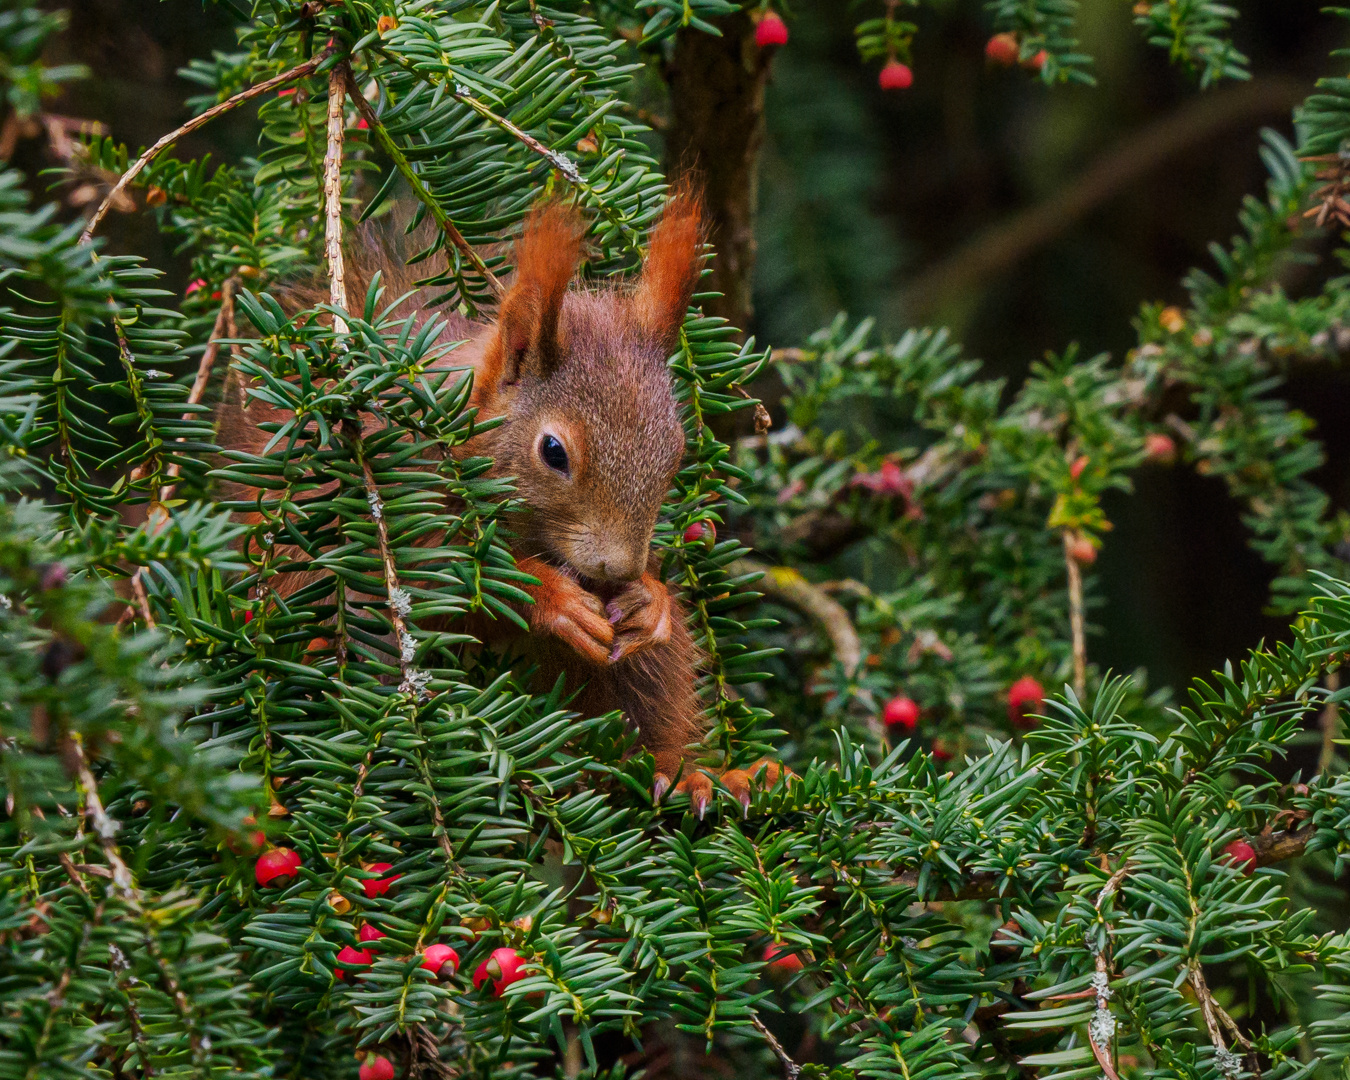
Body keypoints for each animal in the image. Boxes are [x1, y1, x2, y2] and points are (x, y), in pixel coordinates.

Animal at [216, 187, 777, 810]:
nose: (616, 570)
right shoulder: (399, 492)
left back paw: (694, 775)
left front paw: (649, 602)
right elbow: (444, 581)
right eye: (553, 451)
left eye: (677, 452)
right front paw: (550, 598)